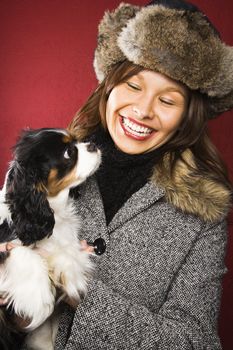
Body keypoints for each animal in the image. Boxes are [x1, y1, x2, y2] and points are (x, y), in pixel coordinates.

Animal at [0, 127, 101, 348]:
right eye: (69, 153)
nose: (93, 145)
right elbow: (24, 253)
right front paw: (38, 299)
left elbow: (67, 254)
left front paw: (74, 273)